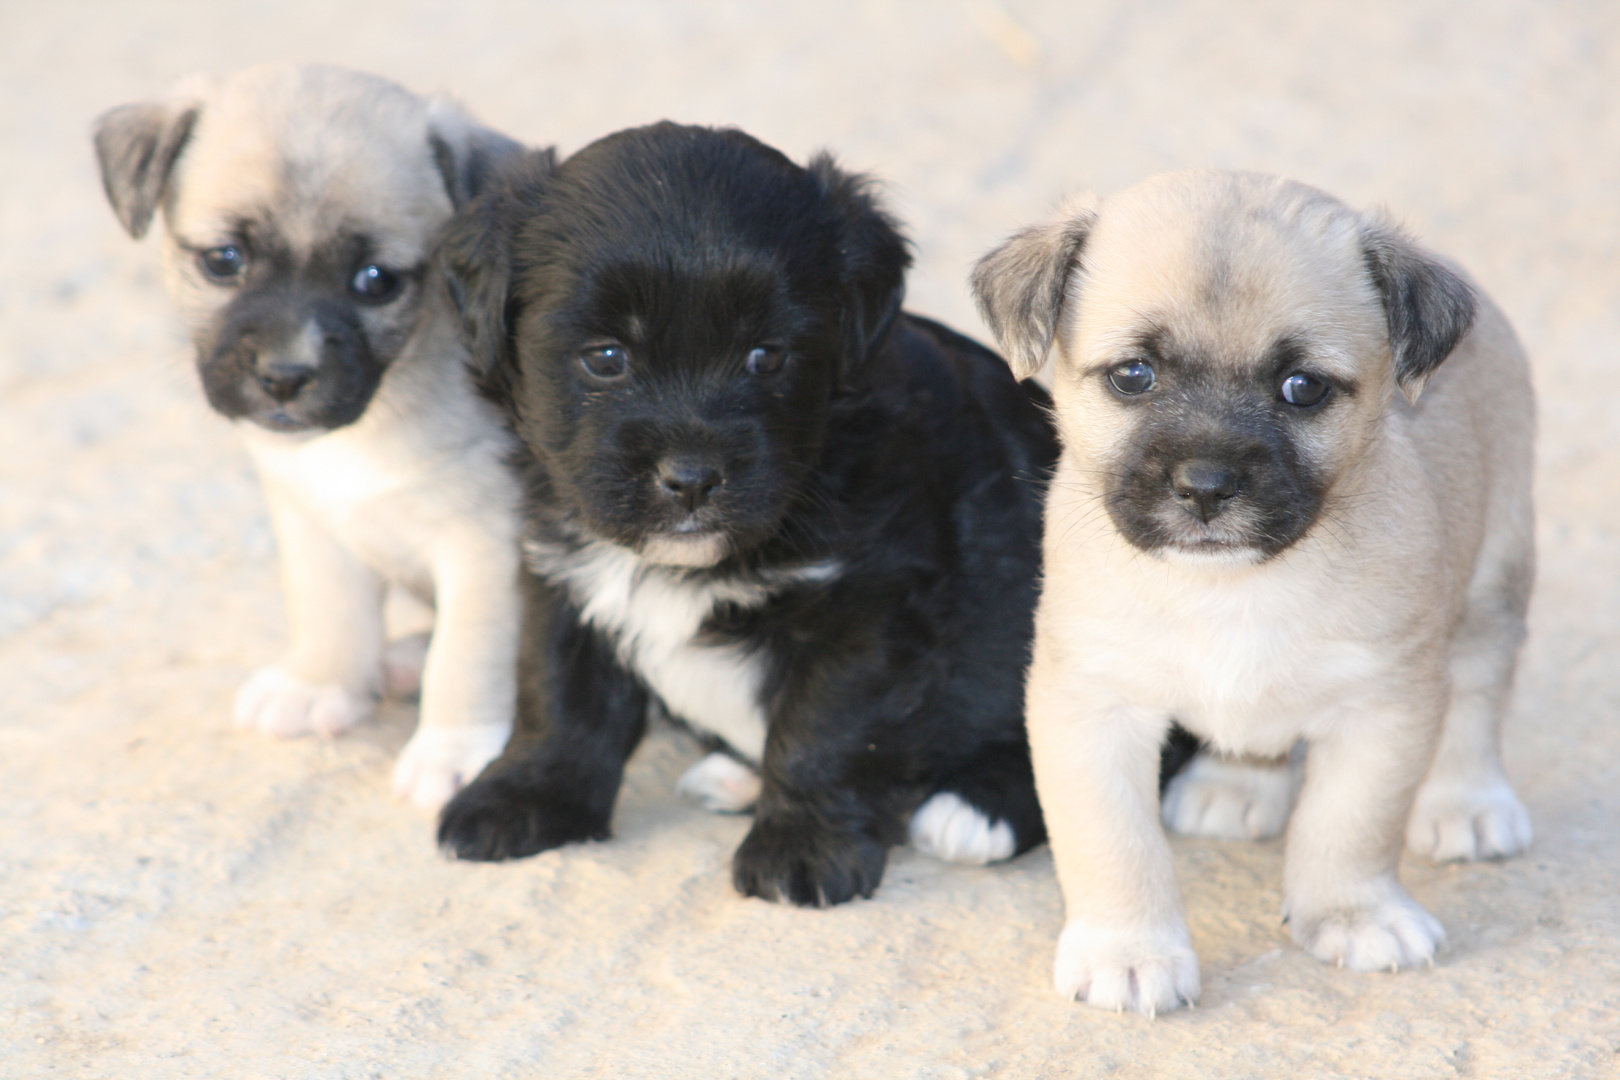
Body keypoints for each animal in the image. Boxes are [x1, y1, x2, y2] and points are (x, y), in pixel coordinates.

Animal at [96, 65, 524, 809]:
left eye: (376, 280)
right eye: (224, 260)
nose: (284, 377)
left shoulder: (487, 546)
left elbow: (470, 653)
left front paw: (455, 748)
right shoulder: (311, 518)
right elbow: (329, 609)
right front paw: (321, 683)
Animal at [437, 122, 1056, 906]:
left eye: (767, 356)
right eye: (605, 357)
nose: (692, 478)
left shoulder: (872, 610)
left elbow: (827, 730)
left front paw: (803, 845)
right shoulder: (561, 572)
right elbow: (558, 694)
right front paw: (527, 798)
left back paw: (976, 811)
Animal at [965, 169, 1535, 1016]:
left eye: (1302, 388)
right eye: (1134, 375)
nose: (1206, 485)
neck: (1230, 587)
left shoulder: (1384, 706)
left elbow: (1350, 824)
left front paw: (1353, 912)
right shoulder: (1091, 706)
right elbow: (1114, 843)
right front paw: (1129, 950)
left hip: (1494, 582)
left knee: (1478, 694)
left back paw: (1468, 801)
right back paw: (1234, 784)